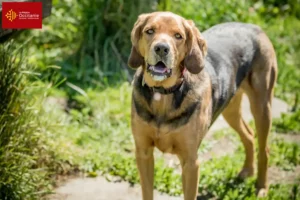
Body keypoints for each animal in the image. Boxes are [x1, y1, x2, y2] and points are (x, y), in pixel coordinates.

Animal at [126, 11, 276, 200]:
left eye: (178, 36)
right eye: (150, 31)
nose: (161, 48)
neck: (164, 93)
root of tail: (253, 26)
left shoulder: (191, 162)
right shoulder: (143, 153)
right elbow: (147, 192)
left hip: (262, 107)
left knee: (265, 149)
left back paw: (261, 187)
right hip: (230, 109)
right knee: (248, 134)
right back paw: (247, 171)